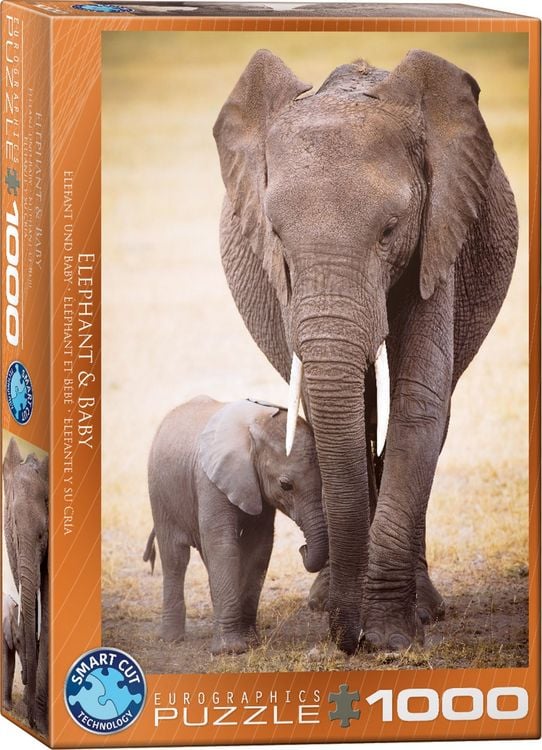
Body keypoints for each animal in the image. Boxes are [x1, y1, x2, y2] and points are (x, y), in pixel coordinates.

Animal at [145, 395, 327, 655]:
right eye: (285, 485)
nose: (303, 548)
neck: (254, 427)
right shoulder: (209, 480)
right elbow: (222, 545)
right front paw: (230, 650)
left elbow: (259, 547)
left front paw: (250, 641)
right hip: (159, 493)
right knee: (175, 558)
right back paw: (170, 639)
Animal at [213, 49, 518, 653]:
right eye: (276, 235)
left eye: (390, 231)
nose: (345, 639)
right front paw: (352, 618)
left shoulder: (439, 235)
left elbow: (418, 406)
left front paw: (391, 637)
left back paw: (423, 608)